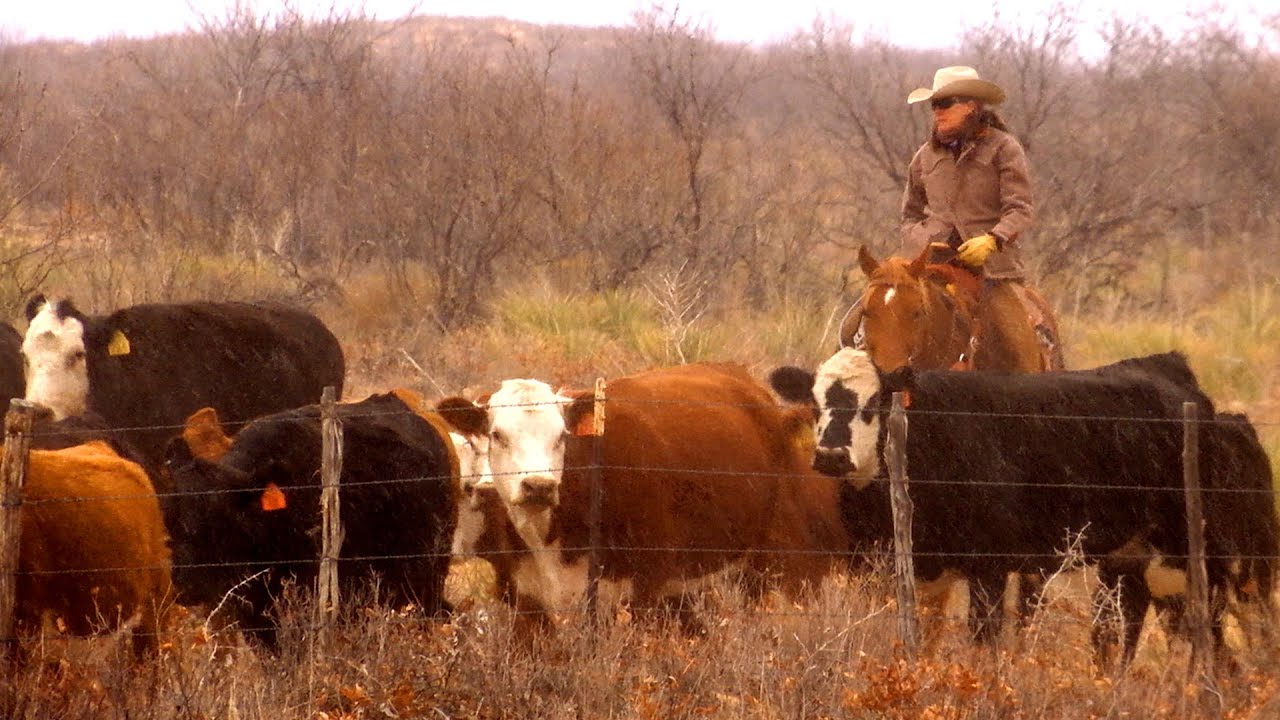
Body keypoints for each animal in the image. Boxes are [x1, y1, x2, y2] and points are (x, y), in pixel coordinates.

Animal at [437, 361, 849, 630]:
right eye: (497, 435)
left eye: (562, 435)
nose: (538, 486)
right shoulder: (528, 605)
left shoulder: (644, 592)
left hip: (788, 567)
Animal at [762, 348, 1223, 655]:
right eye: (815, 402)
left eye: (873, 402)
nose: (832, 456)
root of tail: (1166, 365)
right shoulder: (878, 569)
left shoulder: (989, 567)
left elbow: (982, 643)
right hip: (1128, 555)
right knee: (1126, 619)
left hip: (1188, 547)